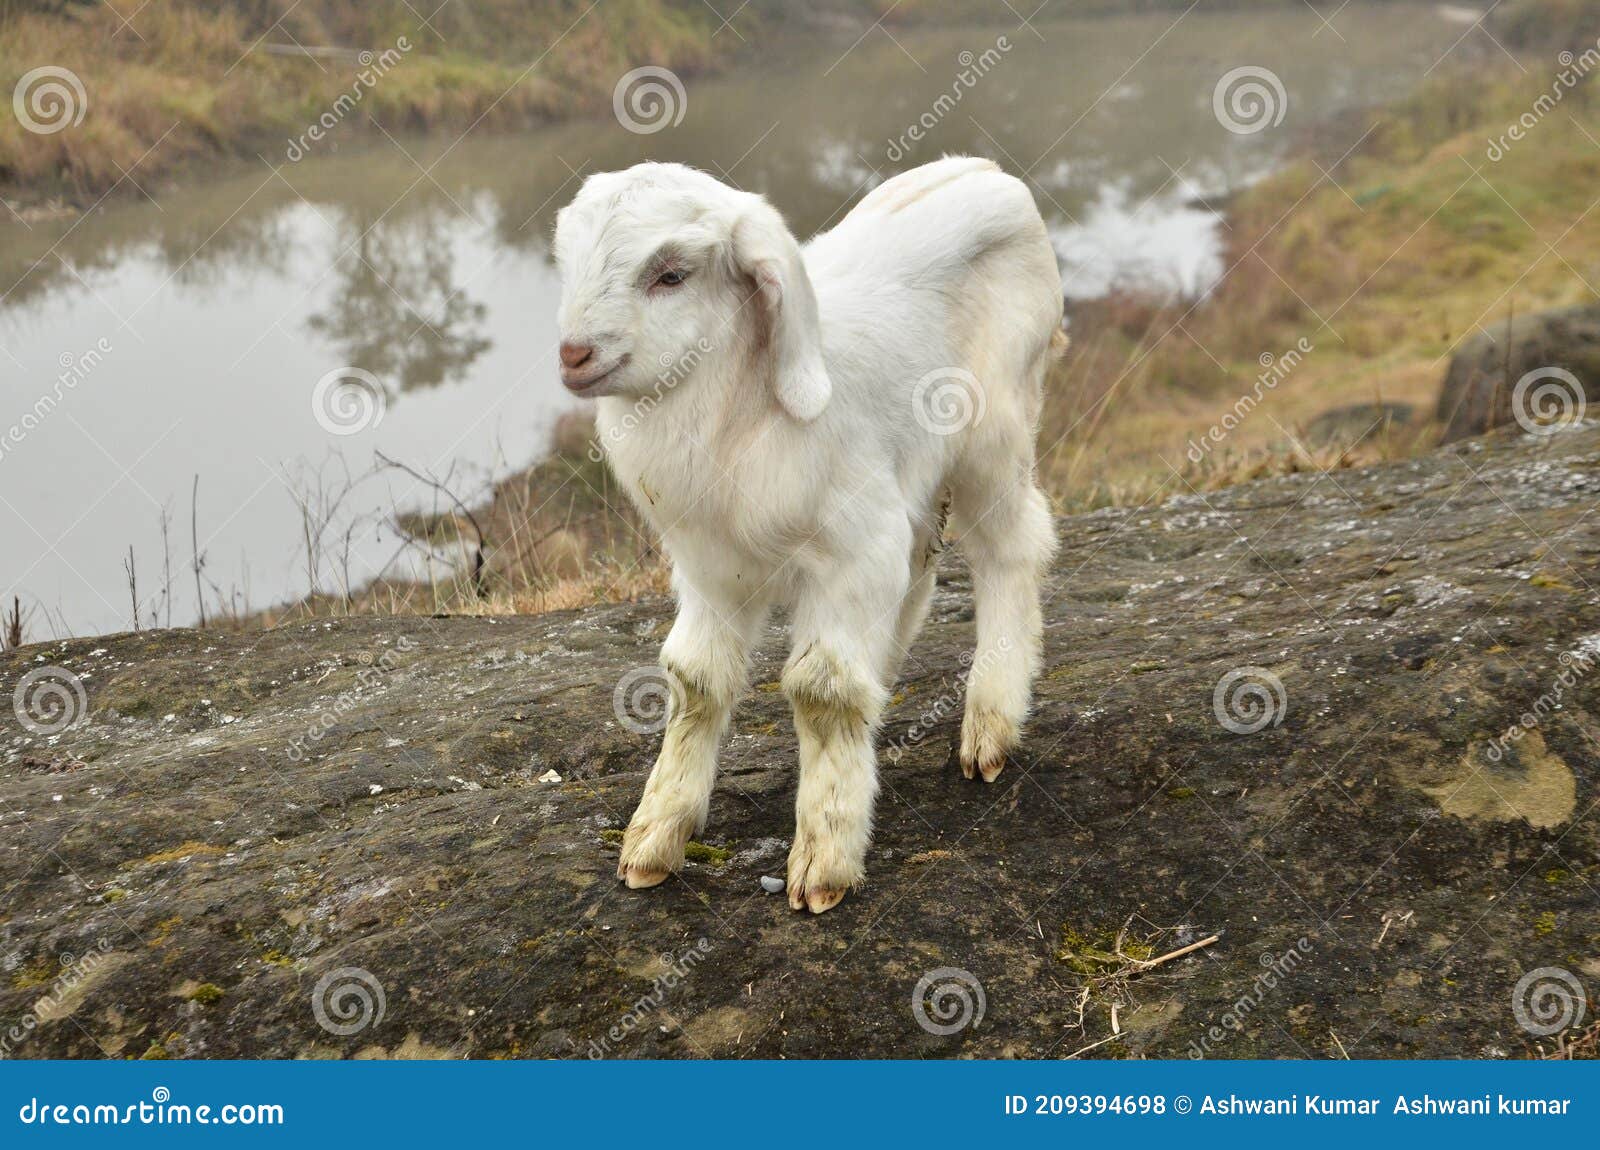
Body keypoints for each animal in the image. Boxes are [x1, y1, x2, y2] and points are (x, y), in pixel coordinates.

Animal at [553, 156, 1063, 913]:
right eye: (570, 258)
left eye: (671, 274)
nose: (574, 354)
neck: (733, 420)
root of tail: (986, 171)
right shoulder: (707, 569)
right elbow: (694, 679)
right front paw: (655, 837)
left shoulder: (853, 550)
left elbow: (820, 689)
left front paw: (825, 857)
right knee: (919, 569)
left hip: (995, 431)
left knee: (1011, 548)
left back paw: (990, 724)